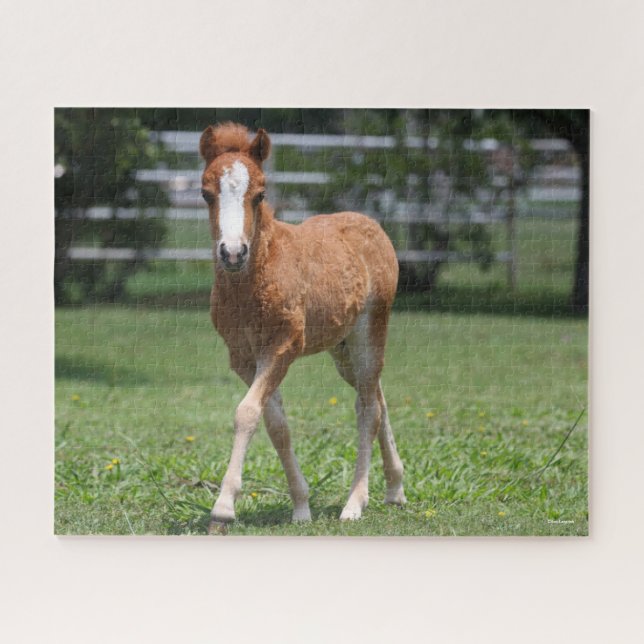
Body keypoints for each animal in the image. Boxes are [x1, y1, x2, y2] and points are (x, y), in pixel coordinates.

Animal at [199, 122, 406, 530]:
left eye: (260, 194)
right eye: (206, 194)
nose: (232, 253)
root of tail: (372, 225)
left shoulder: (283, 347)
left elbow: (246, 413)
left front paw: (223, 509)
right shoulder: (243, 358)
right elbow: (276, 425)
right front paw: (301, 506)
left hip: (370, 331)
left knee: (368, 410)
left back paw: (355, 503)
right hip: (342, 349)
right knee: (377, 396)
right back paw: (395, 489)